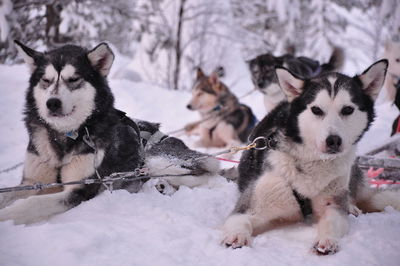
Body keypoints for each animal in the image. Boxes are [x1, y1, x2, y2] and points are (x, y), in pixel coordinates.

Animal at [0, 41, 219, 224]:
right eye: (46, 80)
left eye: (73, 79)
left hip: (155, 162)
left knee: (207, 175)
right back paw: (162, 186)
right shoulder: (32, 182)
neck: (64, 137)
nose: (52, 103)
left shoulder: (80, 188)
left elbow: (31, 203)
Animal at [220, 59, 400, 255]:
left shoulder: (333, 203)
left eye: (347, 109)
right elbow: (240, 219)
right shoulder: (252, 204)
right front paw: (237, 235)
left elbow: (333, 219)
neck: (311, 163)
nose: (333, 140)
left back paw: (352, 206)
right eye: (316, 110)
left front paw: (327, 239)